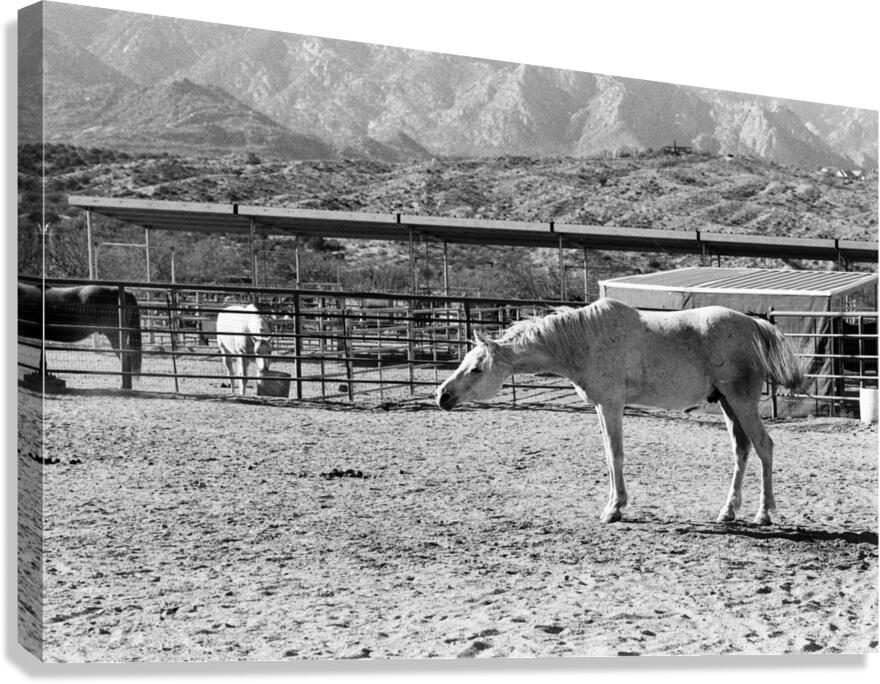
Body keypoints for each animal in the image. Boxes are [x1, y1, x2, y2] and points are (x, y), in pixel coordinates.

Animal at [435, 298, 804, 526]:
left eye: (477, 369)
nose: (442, 395)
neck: (584, 340)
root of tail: (754, 324)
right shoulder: (601, 406)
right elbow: (608, 455)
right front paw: (613, 504)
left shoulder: (611, 404)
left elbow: (616, 454)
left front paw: (614, 509)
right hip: (728, 403)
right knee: (741, 450)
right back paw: (728, 512)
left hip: (741, 402)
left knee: (764, 447)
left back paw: (764, 514)